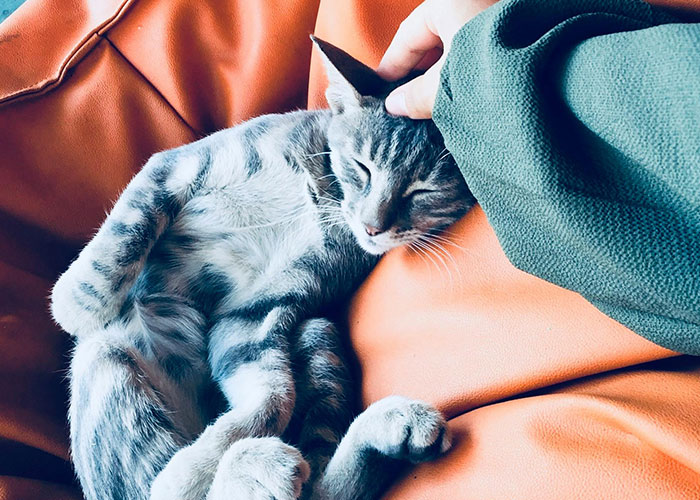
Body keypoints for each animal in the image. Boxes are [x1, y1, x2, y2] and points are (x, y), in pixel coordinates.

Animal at [52, 38, 474, 500]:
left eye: (423, 191)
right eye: (361, 167)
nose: (371, 226)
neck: (320, 191)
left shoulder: (262, 307)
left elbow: (274, 398)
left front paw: (191, 470)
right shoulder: (178, 164)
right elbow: (131, 222)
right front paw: (78, 301)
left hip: (317, 331)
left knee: (318, 482)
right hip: (107, 360)